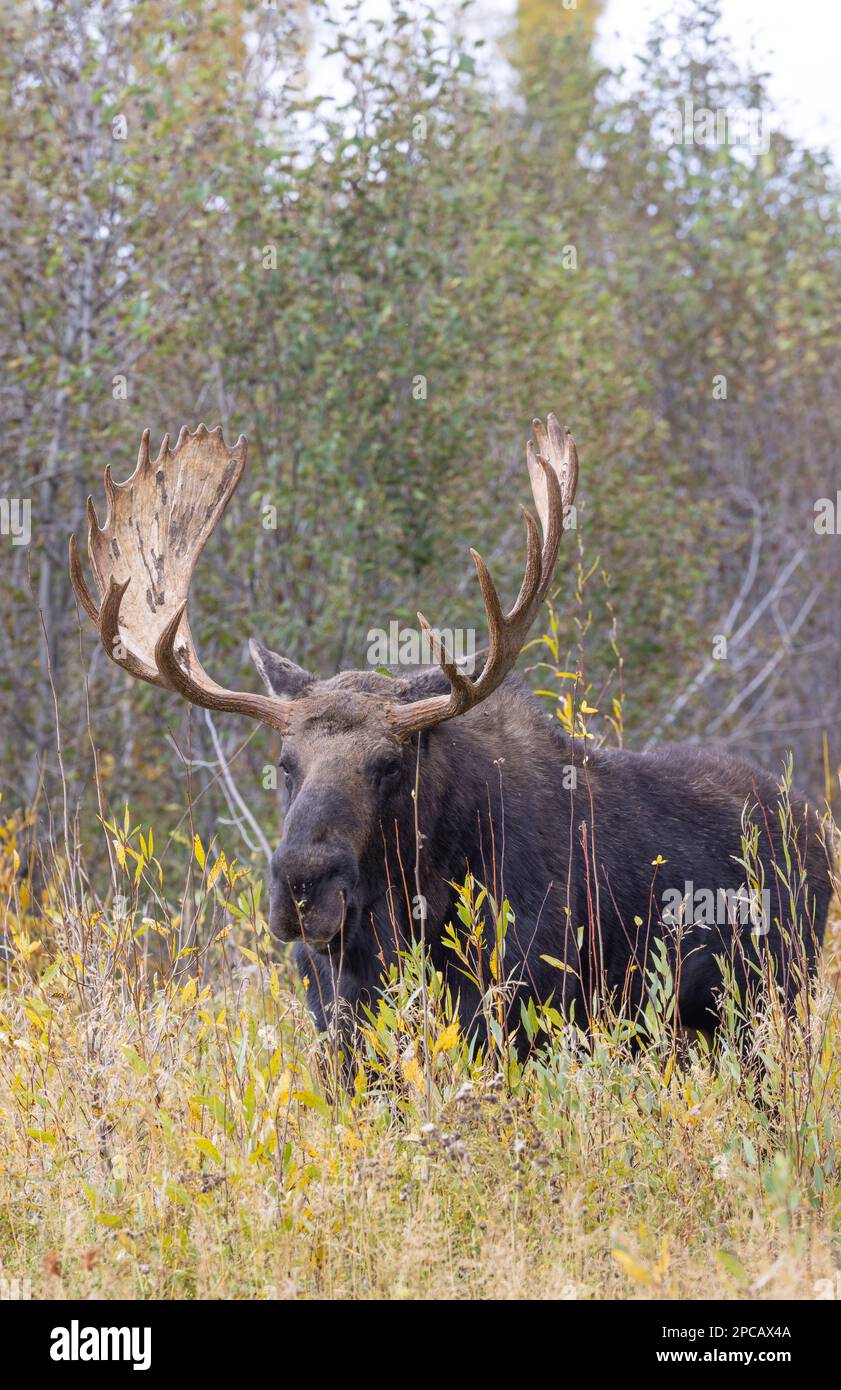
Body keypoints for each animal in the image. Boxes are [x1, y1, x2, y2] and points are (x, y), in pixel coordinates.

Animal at [70, 416, 831, 1056]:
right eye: (286, 763)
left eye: (389, 764)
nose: (302, 885)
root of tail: (814, 824)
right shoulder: (339, 1030)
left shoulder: (520, 1018)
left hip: (766, 1012)